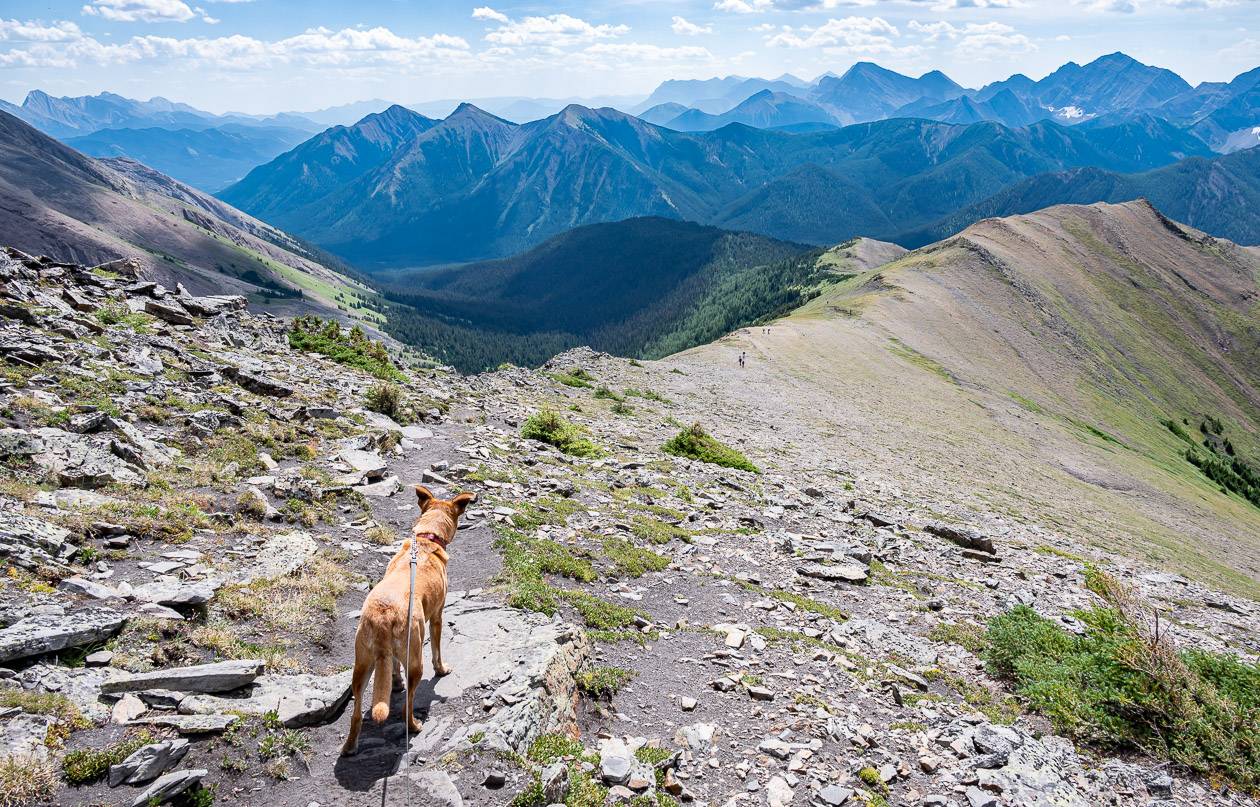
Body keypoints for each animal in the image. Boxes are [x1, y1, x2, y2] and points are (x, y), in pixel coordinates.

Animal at [340, 484, 473, 756]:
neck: (426, 538)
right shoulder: (437, 616)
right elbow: (437, 650)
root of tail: (383, 616)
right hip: (415, 659)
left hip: (362, 664)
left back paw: (350, 746)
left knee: (356, 714)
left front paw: (395, 682)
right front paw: (442, 669)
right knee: (406, 707)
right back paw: (415, 725)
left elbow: (392, 668)